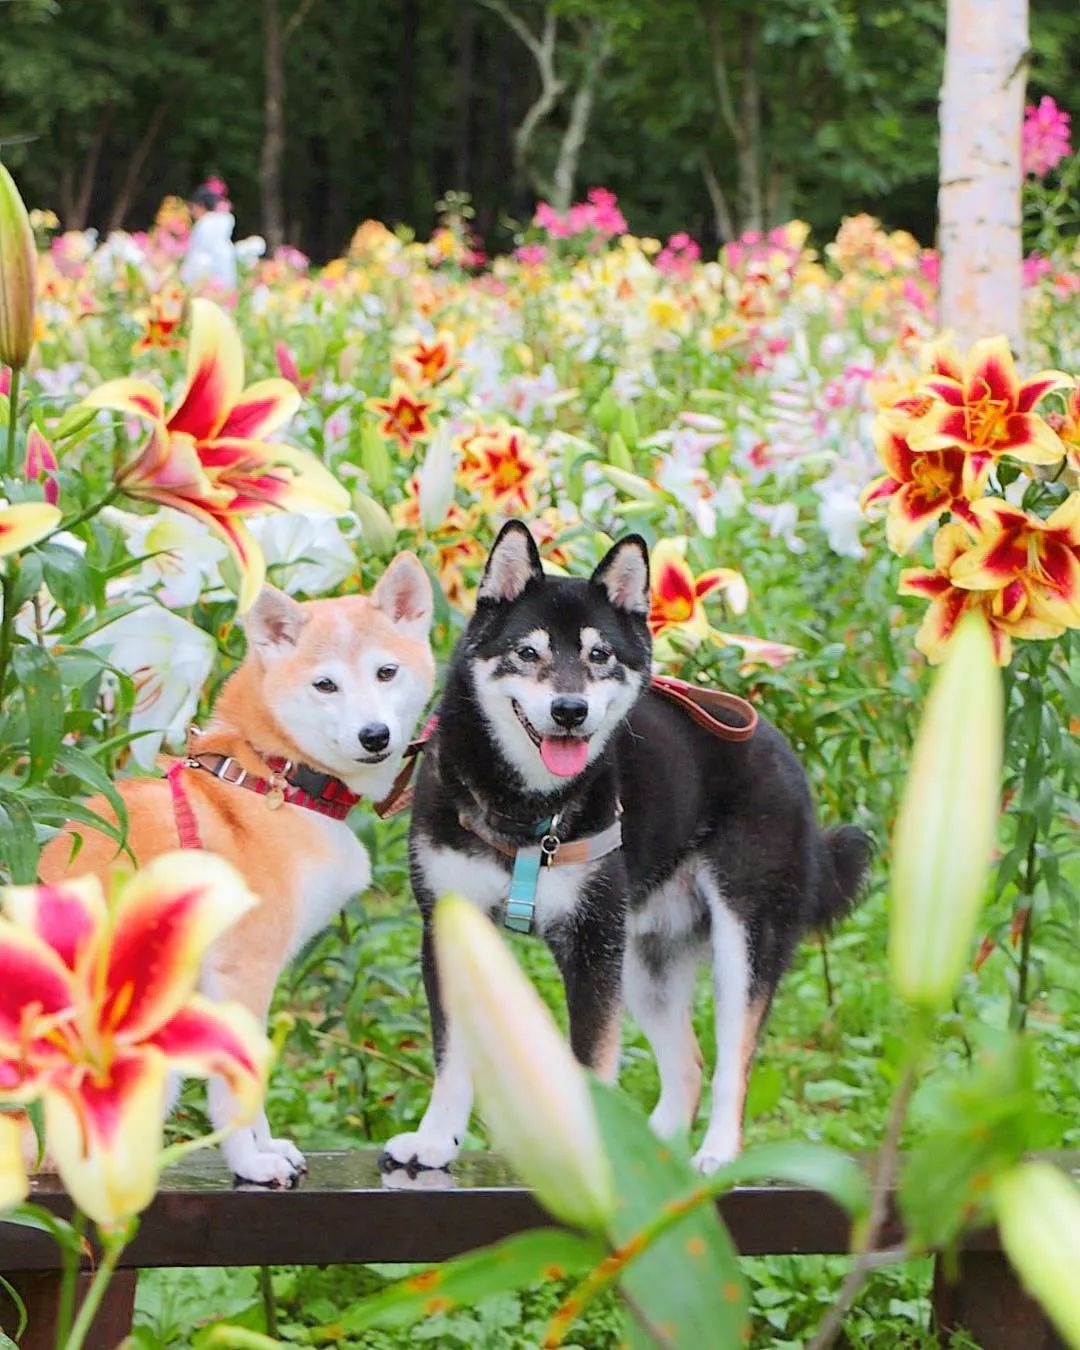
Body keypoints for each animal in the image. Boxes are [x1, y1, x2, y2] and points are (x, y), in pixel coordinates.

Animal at [38, 553, 434, 1188]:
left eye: (386, 672)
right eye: (325, 684)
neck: (274, 775)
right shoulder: (244, 970)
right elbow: (237, 1088)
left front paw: (266, 1148)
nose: (375, 735)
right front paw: (250, 1164)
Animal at [383, 521, 874, 1177]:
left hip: (741, 939)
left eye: (600, 655)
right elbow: (451, 1056)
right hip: (645, 959)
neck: (527, 810)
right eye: (528, 652)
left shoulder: (591, 943)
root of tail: (779, 749)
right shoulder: (451, 927)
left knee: (732, 1065)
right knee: (688, 1066)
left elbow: (591, 1063)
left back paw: (717, 1152)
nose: (570, 710)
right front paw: (435, 1138)